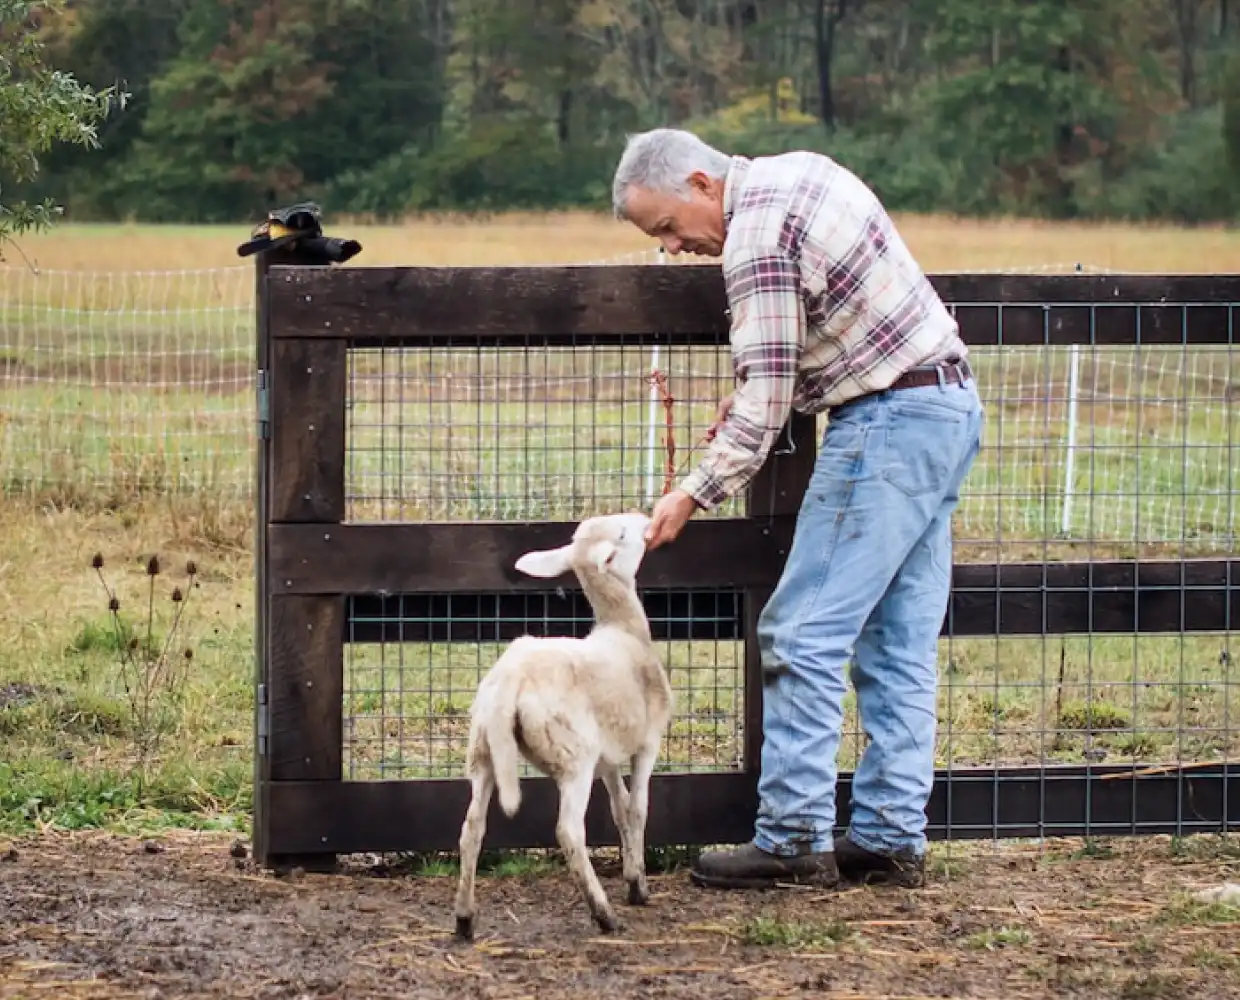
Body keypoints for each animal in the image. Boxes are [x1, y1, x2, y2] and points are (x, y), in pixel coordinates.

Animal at [451, 513, 674, 942]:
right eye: (622, 534)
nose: (645, 518)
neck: (624, 629)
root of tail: (511, 679)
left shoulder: (608, 757)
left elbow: (619, 808)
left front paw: (630, 872)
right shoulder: (647, 742)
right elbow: (638, 807)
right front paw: (638, 886)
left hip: (484, 750)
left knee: (471, 829)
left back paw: (465, 919)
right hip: (574, 755)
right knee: (569, 831)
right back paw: (603, 914)